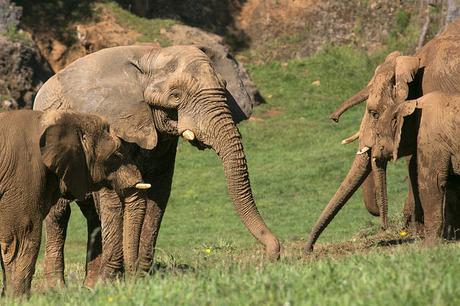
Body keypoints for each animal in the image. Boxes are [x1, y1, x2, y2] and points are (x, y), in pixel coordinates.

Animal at [33, 44, 280, 286]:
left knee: (92, 216)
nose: (273, 256)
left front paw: (138, 280)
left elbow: (159, 191)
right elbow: (112, 198)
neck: (151, 56)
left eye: (225, 88)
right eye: (176, 96)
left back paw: (89, 285)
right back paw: (58, 289)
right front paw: (112, 282)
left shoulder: (163, 141)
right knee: (59, 214)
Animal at [378, 92, 460, 240]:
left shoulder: (431, 139)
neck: (411, 104)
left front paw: (429, 244)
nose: (384, 227)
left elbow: (432, 183)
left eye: (377, 134)